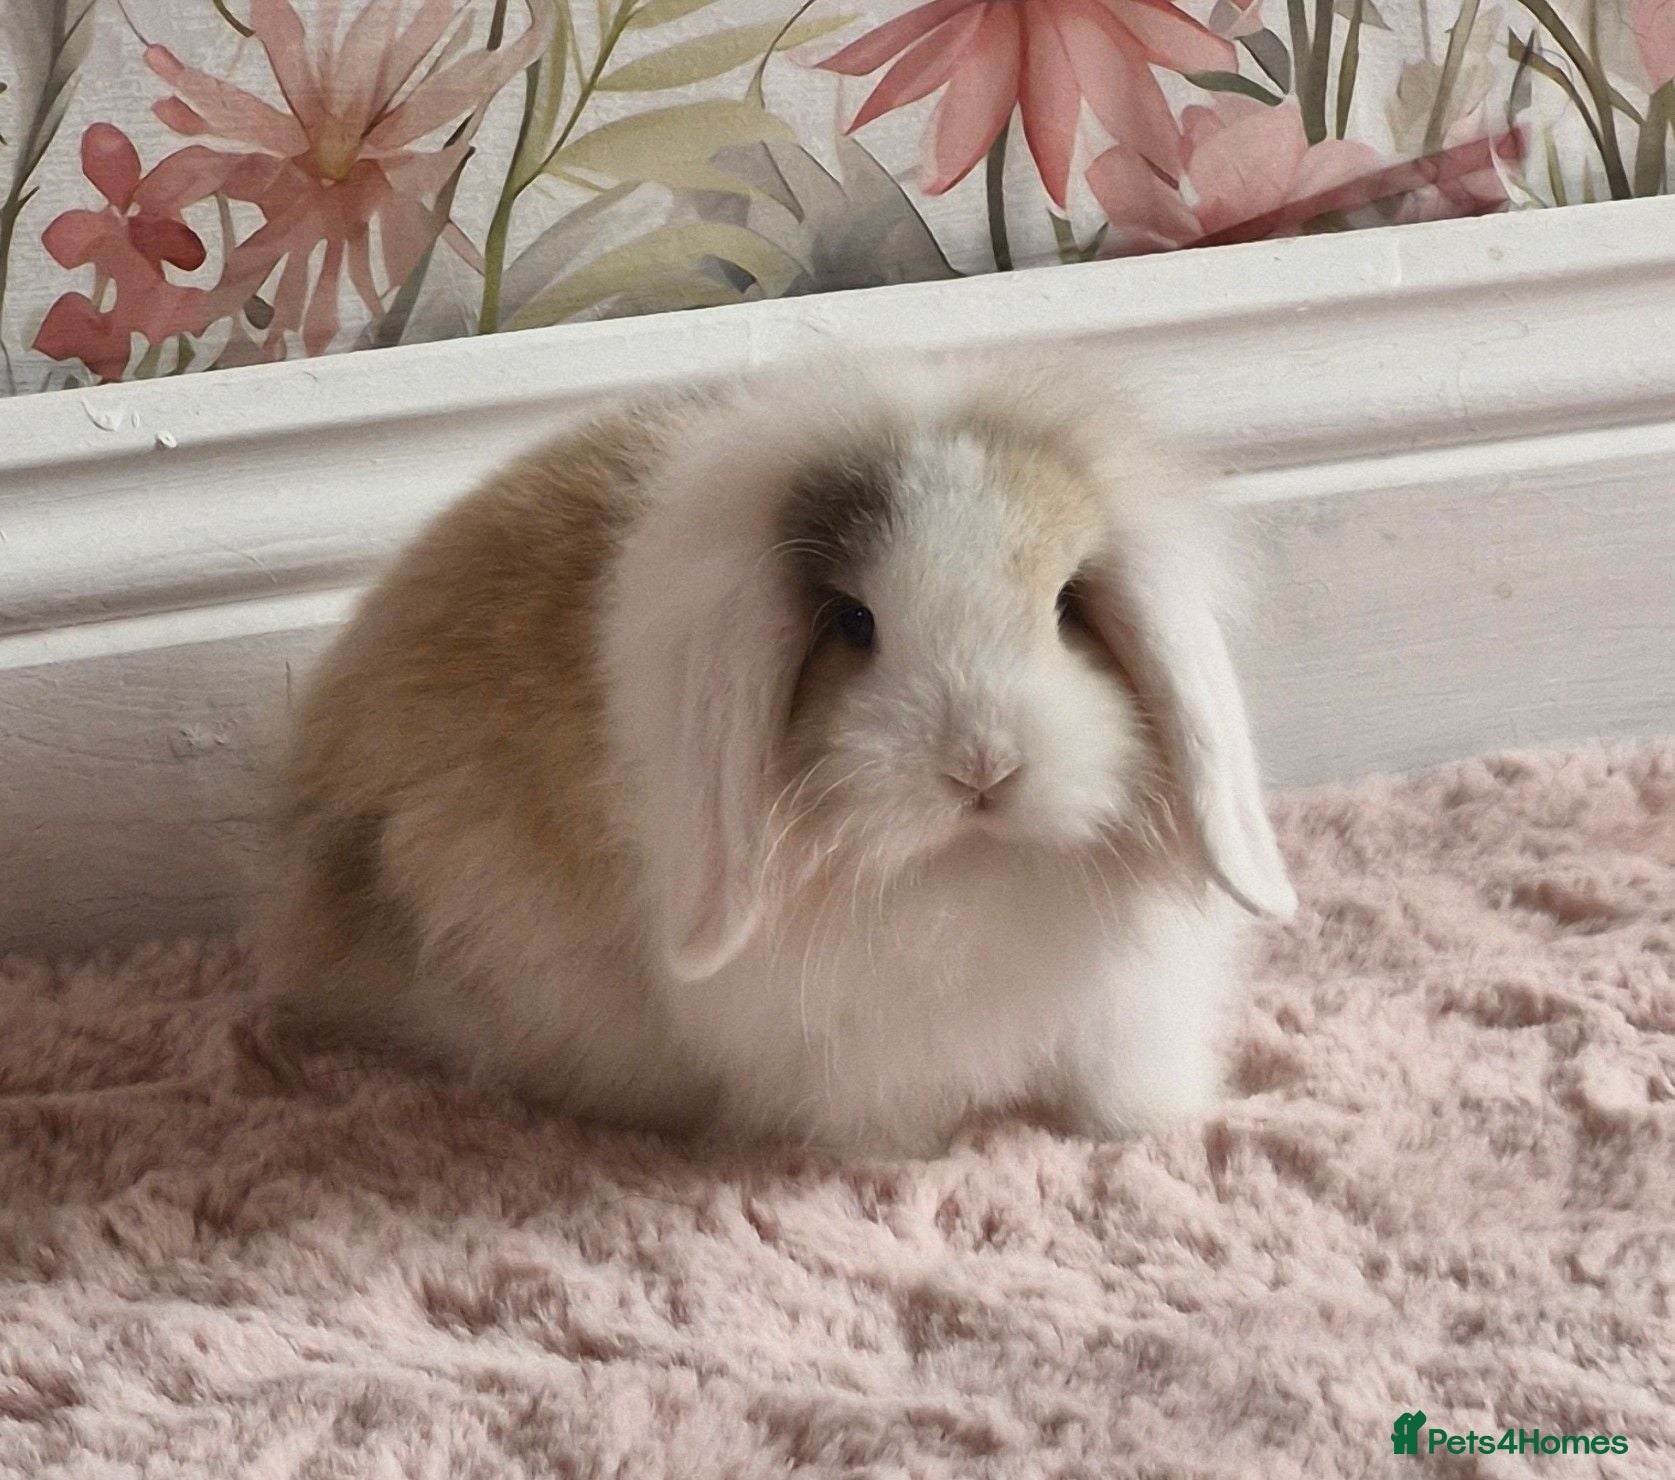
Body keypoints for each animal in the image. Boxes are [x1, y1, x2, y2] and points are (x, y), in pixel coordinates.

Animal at [261, 350, 1295, 1157]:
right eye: (854, 622)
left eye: (1068, 603)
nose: (981, 768)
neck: (967, 874)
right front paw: (899, 1161)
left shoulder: (1127, 1020)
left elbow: (1117, 1093)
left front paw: (1145, 1132)